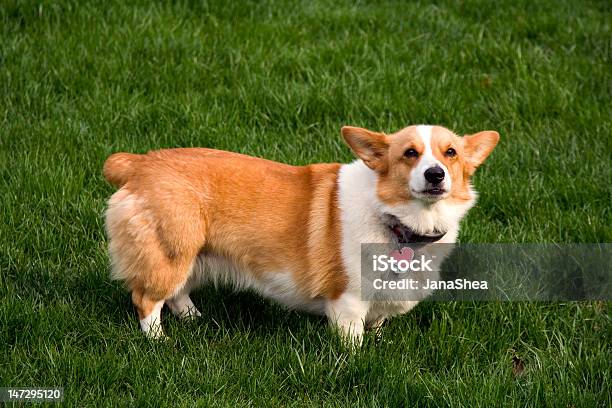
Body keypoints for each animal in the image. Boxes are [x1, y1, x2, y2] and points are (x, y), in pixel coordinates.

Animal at [103, 124, 500, 344]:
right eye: (410, 153)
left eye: (451, 153)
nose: (435, 174)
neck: (395, 218)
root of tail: (138, 163)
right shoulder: (347, 300)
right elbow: (352, 340)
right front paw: (357, 359)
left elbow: (378, 322)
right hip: (171, 249)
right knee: (147, 299)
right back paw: (160, 342)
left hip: (192, 252)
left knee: (177, 292)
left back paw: (194, 319)